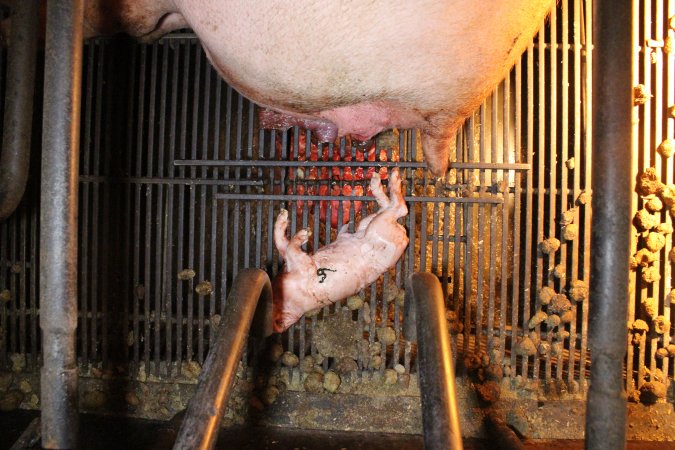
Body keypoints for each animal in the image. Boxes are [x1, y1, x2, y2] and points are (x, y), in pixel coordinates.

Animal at [270, 168, 408, 333]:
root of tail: (405, 237)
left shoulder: (300, 263)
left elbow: (283, 244)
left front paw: (299, 229)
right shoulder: (303, 265)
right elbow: (286, 246)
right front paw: (303, 234)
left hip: (373, 225)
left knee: (397, 207)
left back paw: (384, 178)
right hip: (374, 224)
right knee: (396, 208)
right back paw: (385, 179)